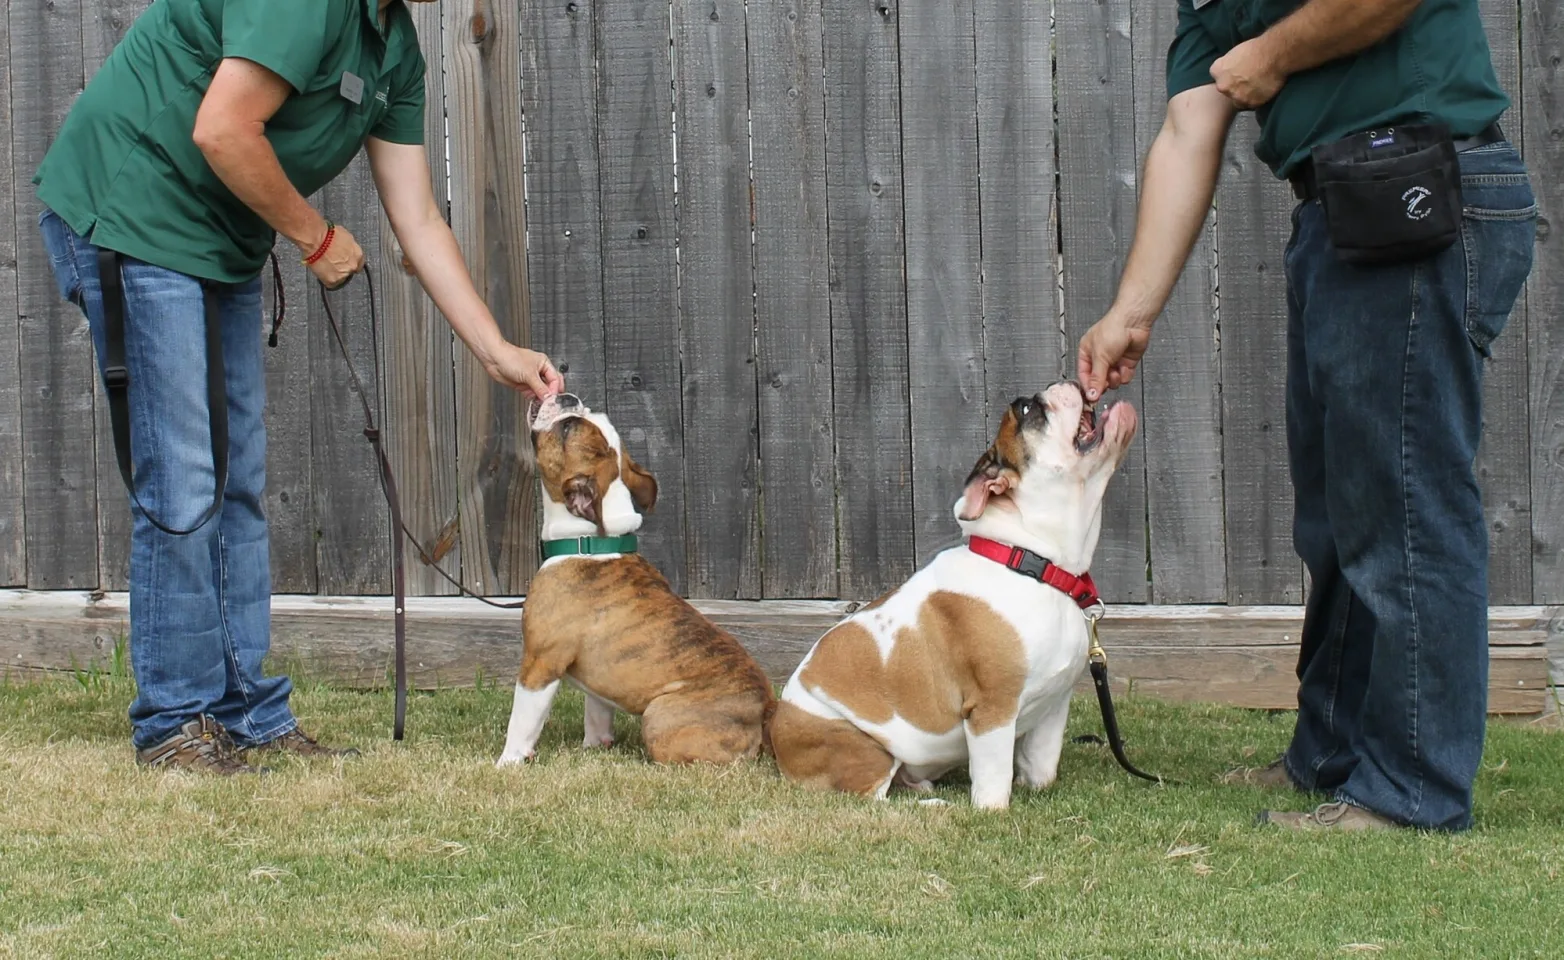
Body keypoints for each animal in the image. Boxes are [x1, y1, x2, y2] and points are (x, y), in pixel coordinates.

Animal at [494, 395, 775, 772]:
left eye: (567, 428)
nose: (569, 398)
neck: (590, 541)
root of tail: (766, 711)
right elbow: (596, 713)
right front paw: (595, 747)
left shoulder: (540, 662)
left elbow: (522, 721)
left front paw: (506, 763)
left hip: (659, 716)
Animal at [766, 383, 1138, 813]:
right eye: (1027, 409)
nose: (1065, 383)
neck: (1032, 562)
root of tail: (777, 738)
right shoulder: (992, 709)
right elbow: (994, 783)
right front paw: (991, 812)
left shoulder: (1053, 706)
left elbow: (1042, 768)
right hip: (862, 748)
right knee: (873, 799)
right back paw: (933, 805)